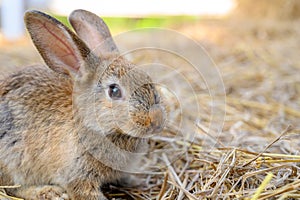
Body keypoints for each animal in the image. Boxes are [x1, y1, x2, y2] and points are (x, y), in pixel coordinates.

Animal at [0, 9, 165, 200]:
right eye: (114, 90)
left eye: (147, 78)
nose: (157, 120)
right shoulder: (78, 175)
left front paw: (137, 182)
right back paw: (48, 192)